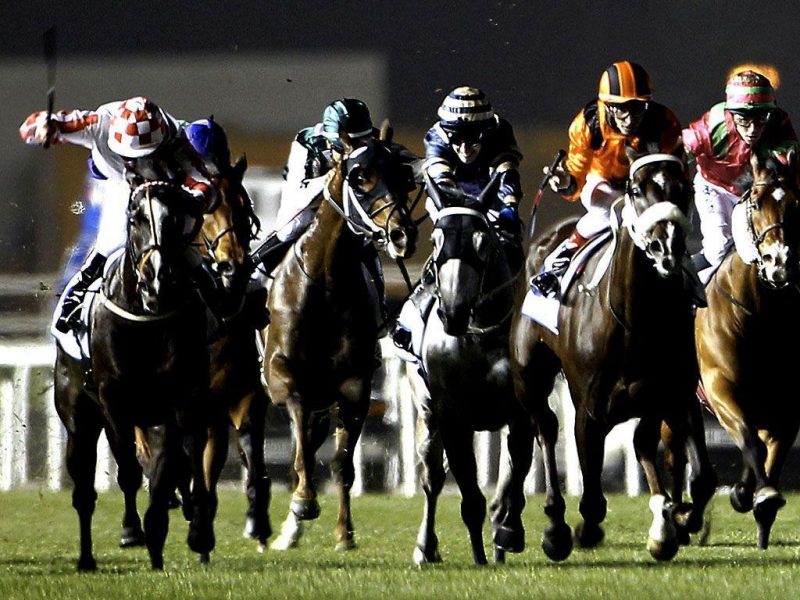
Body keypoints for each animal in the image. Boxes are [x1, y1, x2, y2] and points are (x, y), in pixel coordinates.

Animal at [53, 176, 217, 568]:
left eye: (177, 217)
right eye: (136, 217)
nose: (159, 278)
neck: (145, 318)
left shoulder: (181, 399)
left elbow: (179, 464)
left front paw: (191, 533)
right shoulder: (114, 401)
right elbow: (128, 471)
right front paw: (135, 531)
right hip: (80, 418)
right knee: (85, 489)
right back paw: (89, 556)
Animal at [266, 132, 418, 552]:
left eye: (404, 176)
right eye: (360, 176)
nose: (402, 234)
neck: (325, 284)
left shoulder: (355, 386)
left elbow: (342, 464)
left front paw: (344, 533)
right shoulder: (284, 377)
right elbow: (301, 450)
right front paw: (304, 502)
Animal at [406, 176, 532, 564]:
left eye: (482, 241)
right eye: (435, 239)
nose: (453, 312)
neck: (478, 337)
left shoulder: (519, 412)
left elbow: (514, 476)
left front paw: (507, 532)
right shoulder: (450, 417)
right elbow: (468, 494)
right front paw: (478, 555)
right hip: (427, 416)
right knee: (432, 479)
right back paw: (425, 548)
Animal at [512, 150, 720, 564]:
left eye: (685, 188)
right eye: (637, 189)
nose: (665, 248)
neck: (637, 322)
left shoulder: (676, 396)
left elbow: (702, 476)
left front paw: (678, 521)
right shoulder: (589, 411)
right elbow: (592, 498)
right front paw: (580, 531)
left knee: (642, 443)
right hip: (530, 376)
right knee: (546, 429)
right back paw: (555, 527)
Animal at [692, 150, 800, 548]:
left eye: (797, 203)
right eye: (755, 202)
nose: (779, 263)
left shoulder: (786, 407)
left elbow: (767, 456)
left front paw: (755, 499)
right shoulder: (719, 386)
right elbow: (750, 442)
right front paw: (751, 494)